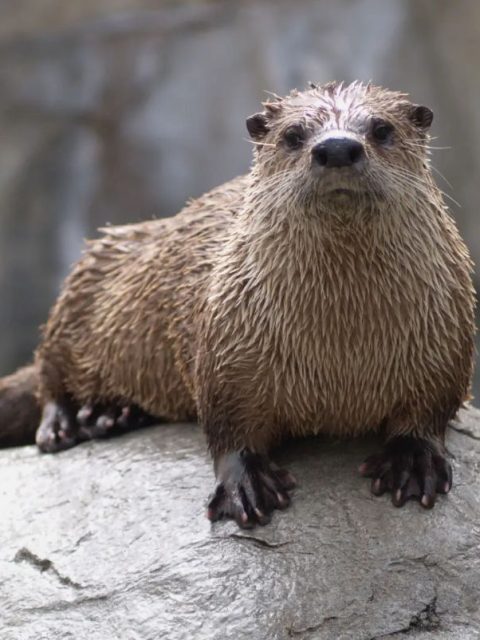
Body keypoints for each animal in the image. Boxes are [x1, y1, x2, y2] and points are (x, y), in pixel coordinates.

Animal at [0, 81, 475, 528]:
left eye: (381, 129)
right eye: (293, 135)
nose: (338, 147)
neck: (341, 351)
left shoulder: (445, 343)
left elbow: (430, 412)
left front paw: (412, 461)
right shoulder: (226, 353)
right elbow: (227, 428)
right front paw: (245, 485)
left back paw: (111, 415)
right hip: (84, 283)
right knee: (49, 373)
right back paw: (65, 424)